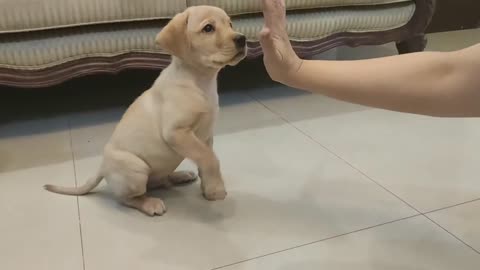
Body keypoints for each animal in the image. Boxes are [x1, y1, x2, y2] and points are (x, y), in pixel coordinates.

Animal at [44, 6, 248, 216]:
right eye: (208, 28)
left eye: (230, 24)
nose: (242, 39)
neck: (199, 81)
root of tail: (102, 167)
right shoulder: (176, 132)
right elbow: (209, 158)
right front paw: (217, 189)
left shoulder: (206, 135)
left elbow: (207, 157)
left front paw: (209, 189)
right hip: (137, 169)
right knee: (126, 198)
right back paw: (150, 203)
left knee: (160, 180)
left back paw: (180, 175)